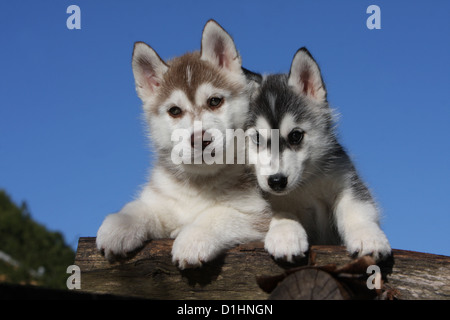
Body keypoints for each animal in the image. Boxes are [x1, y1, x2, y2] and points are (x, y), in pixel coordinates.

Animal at [96, 20, 270, 268]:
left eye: (214, 101)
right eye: (175, 111)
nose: (200, 139)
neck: (199, 183)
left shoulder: (258, 213)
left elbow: (220, 214)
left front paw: (193, 239)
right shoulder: (163, 199)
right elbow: (143, 207)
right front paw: (120, 224)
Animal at [246, 48, 390, 262]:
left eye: (296, 135)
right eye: (257, 138)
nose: (277, 181)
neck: (303, 186)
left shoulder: (346, 180)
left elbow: (357, 208)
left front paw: (368, 236)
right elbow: (279, 212)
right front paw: (285, 235)